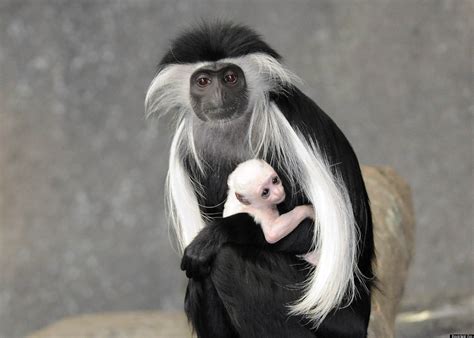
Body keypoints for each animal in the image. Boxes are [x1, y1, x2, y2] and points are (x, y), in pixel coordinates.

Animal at [144, 21, 374, 338]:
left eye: (230, 78)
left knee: (226, 260)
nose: (218, 97)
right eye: (203, 81)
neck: (233, 127)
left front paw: (221, 231)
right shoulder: (187, 149)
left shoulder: (286, 124)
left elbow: (312, 230)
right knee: (200, 275)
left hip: (333, 316)